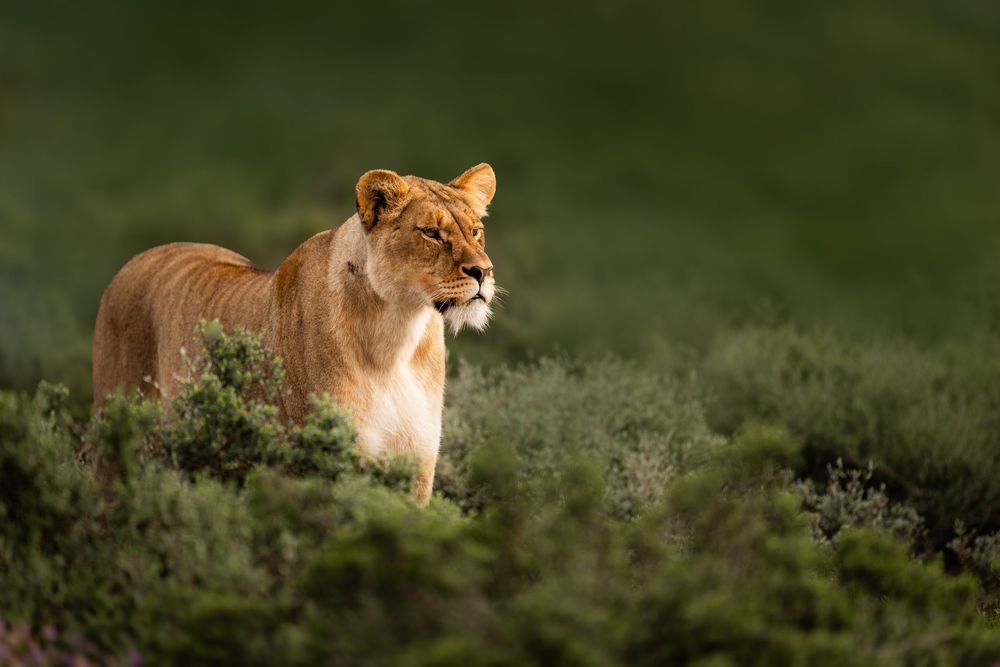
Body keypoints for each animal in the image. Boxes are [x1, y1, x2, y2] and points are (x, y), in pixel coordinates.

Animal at [92, 164, 498, 503]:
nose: (483, 271)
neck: (398, 333)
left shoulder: (417, 462)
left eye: (476, 231)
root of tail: (134, 261)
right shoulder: (325, 458)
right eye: (431, 233)